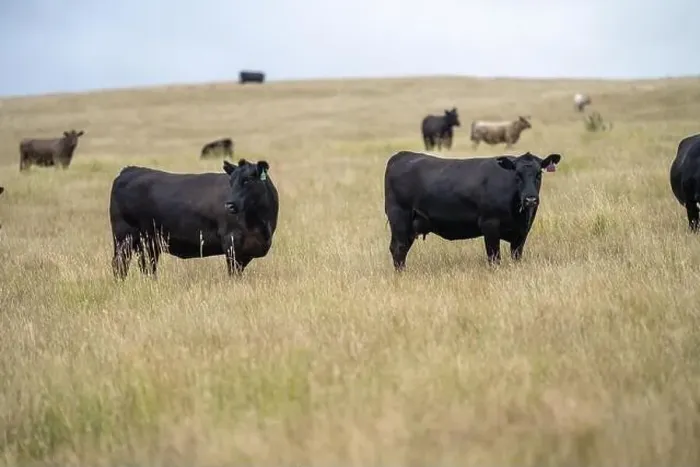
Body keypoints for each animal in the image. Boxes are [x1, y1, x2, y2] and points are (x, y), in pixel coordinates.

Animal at [109, 158, 279, 279]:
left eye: (247, 180)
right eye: (231, 182)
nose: (229, 205)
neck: (261, 223)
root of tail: (129, 170)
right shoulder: (231, 241)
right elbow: (234, 273)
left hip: (148, 243)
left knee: (148, 267)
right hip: (124, 237)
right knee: (119, 264)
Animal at [383, 150, 562, 271]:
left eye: (539, 174)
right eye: (517, 175)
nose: (530, 199)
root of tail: (401, 155)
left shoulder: (522, 232)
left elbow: (516, 256)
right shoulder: (490, 224)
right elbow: (494, 257)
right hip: (399, 218)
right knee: (398, 248)